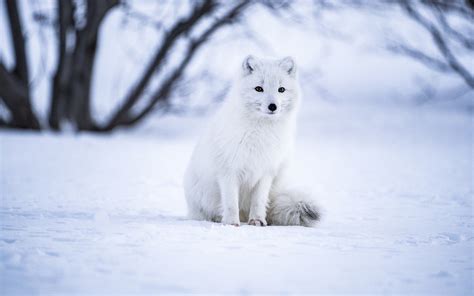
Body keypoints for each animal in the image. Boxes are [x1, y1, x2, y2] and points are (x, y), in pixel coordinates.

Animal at [183, 55, 320, 227]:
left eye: (281, 89)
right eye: (258, 88)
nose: (273, 106)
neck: (260, 133)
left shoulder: (266, 172)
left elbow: (259, 201)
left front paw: (257, 220)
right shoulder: (228, 171)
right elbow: (230, 202)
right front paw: (231, 223)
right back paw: (218, 218)